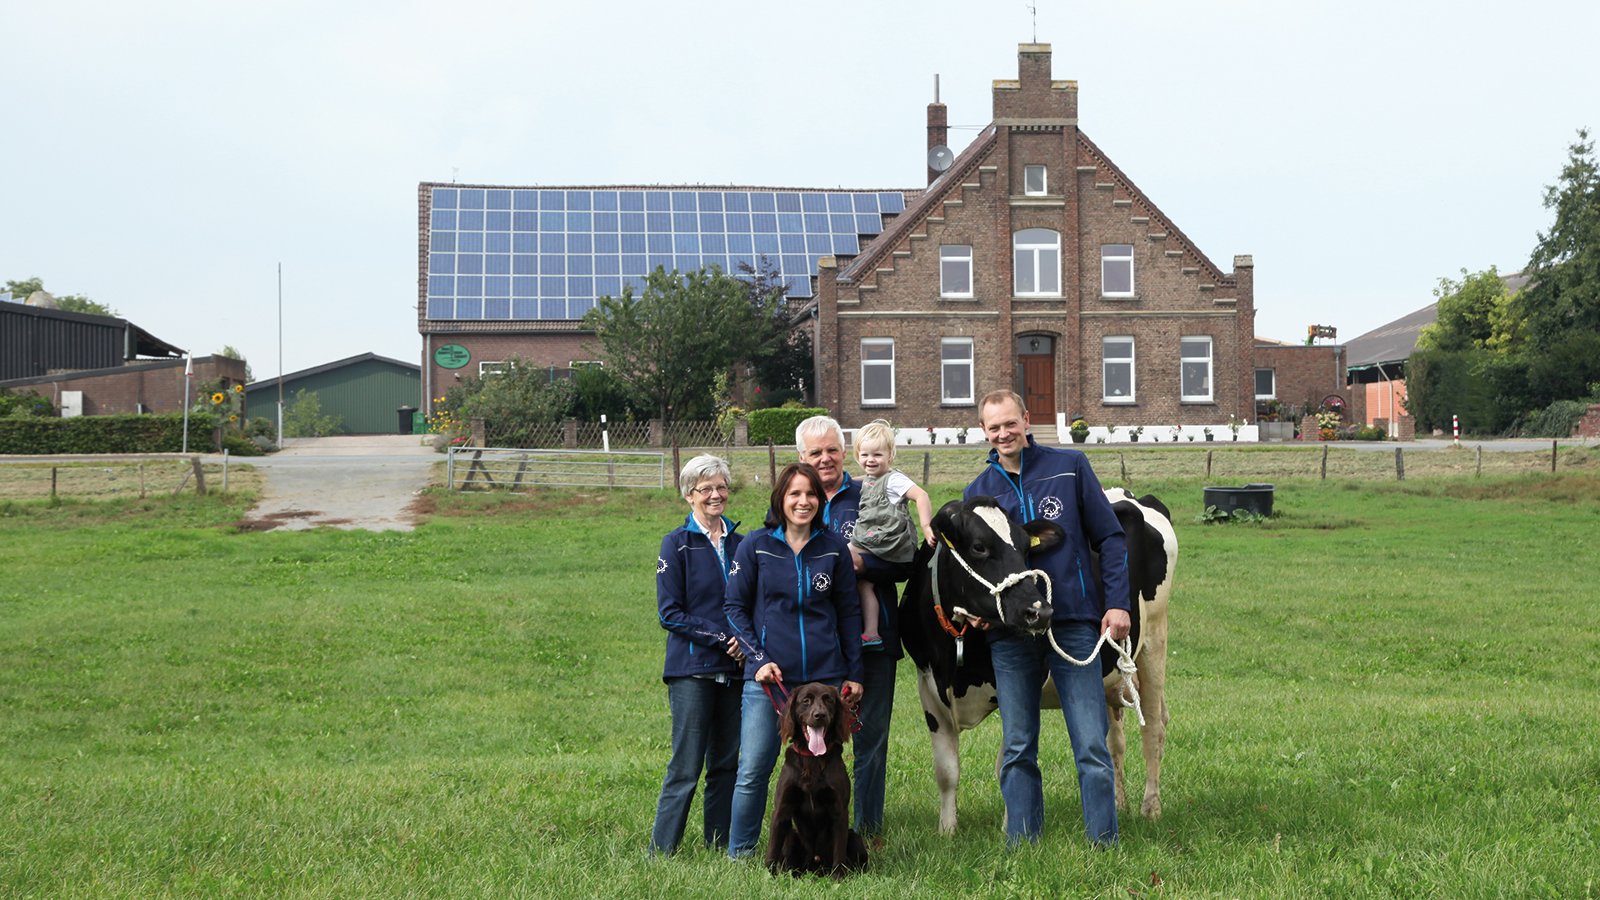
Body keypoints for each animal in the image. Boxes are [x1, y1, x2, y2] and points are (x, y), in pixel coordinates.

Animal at [764, 682, 870, 871]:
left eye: (829, 701)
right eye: (806, 701)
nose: (819, 715)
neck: (812, 759)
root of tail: (816, 866)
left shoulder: (840, 811)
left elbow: (838, 854)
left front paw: (838, 876)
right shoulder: (781, 810)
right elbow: (772, 851)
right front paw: (768, 875)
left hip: (855, 838)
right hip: (792, 836)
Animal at [896, 486, 1184, 832]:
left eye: (1025, 549)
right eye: (979, 546)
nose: (1040, 611)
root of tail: (1125, 493)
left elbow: (1008, 761)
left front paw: (1012, 827)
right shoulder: (928, 686)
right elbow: (946, 771)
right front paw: (947, 832)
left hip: (1154, 636)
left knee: (1153, 725)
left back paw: (1150, 807)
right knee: (1114, 739)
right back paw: (1118, 803)